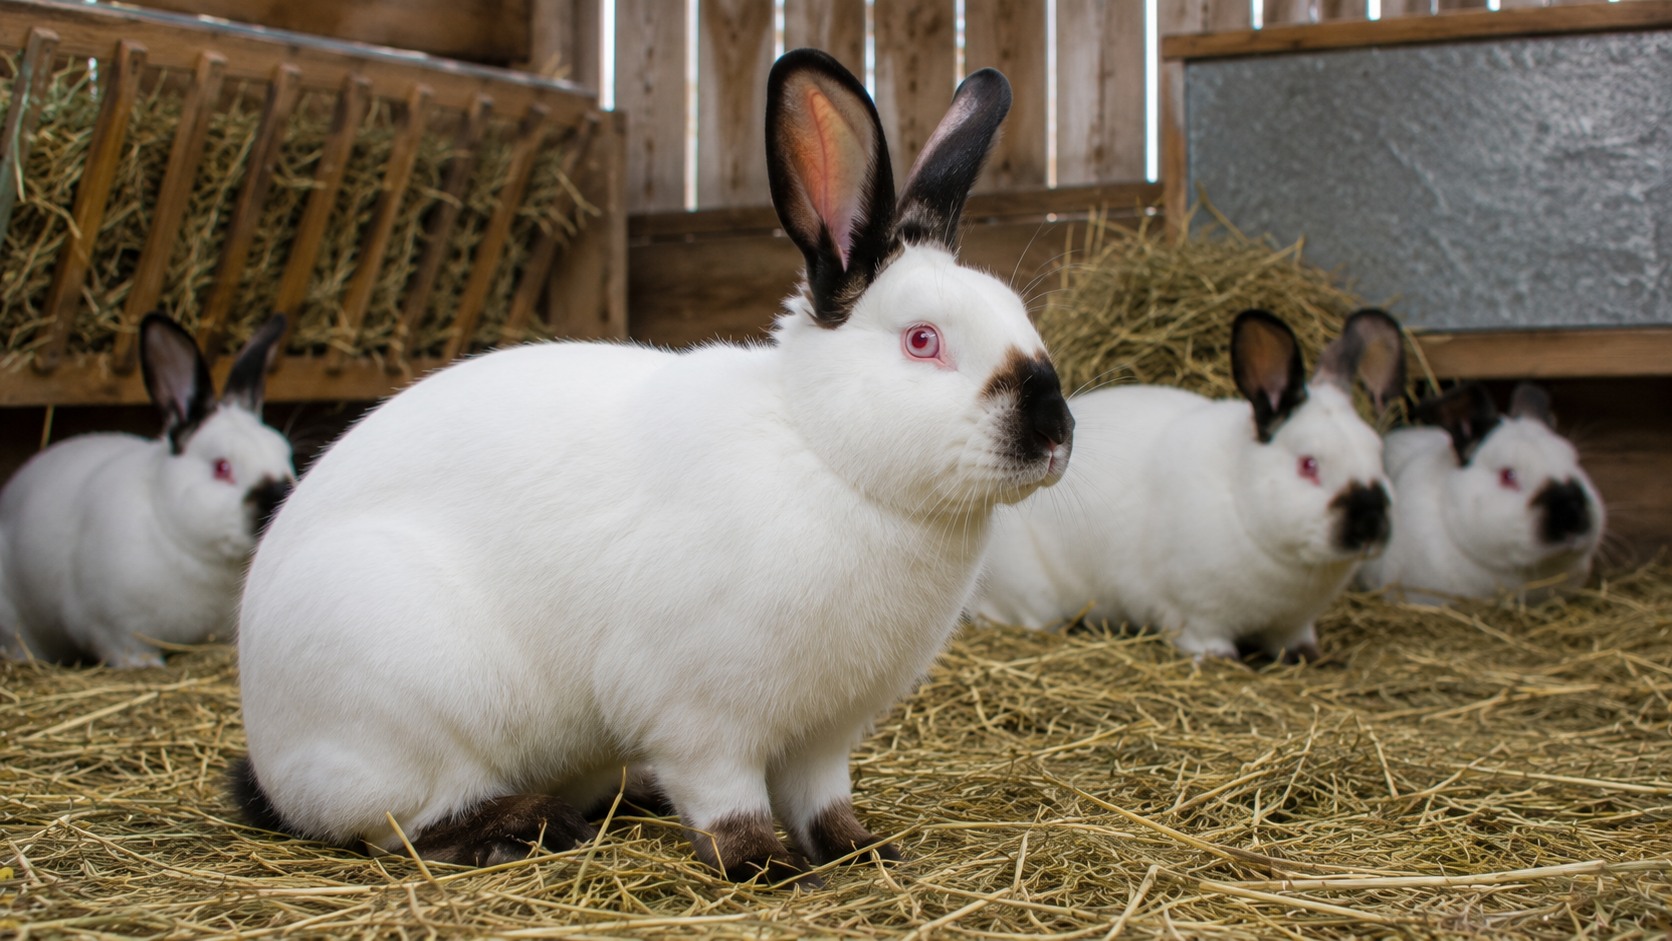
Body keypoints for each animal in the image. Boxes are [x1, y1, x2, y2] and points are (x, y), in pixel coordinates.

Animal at [0, 313, 294, 668]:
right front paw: (146, 665)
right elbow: (127, 648)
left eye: (286, 455)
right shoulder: (112, 625)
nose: (279, 503)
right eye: (222, 467)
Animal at [231, 49, 1074, 884]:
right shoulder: (703, 717)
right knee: (405, 826)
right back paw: (529, 826)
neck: (824, 453)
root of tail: (270, 749)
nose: (1057, 431)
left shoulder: (823, 735)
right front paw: (769, 868)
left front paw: (866, 849)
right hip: (409, 708)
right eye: (922, 340)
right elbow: (728, 804)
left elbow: (824, 804)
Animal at [972, 309, 1405, 662]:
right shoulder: (1197, 613)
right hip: (1033, 597)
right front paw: (1221, 659)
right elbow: (1206, 641)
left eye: (1379, 453)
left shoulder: (1294, 624)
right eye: (1309, 464)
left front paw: (1313, 657)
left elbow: (1297, 643)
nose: (1370, 523)